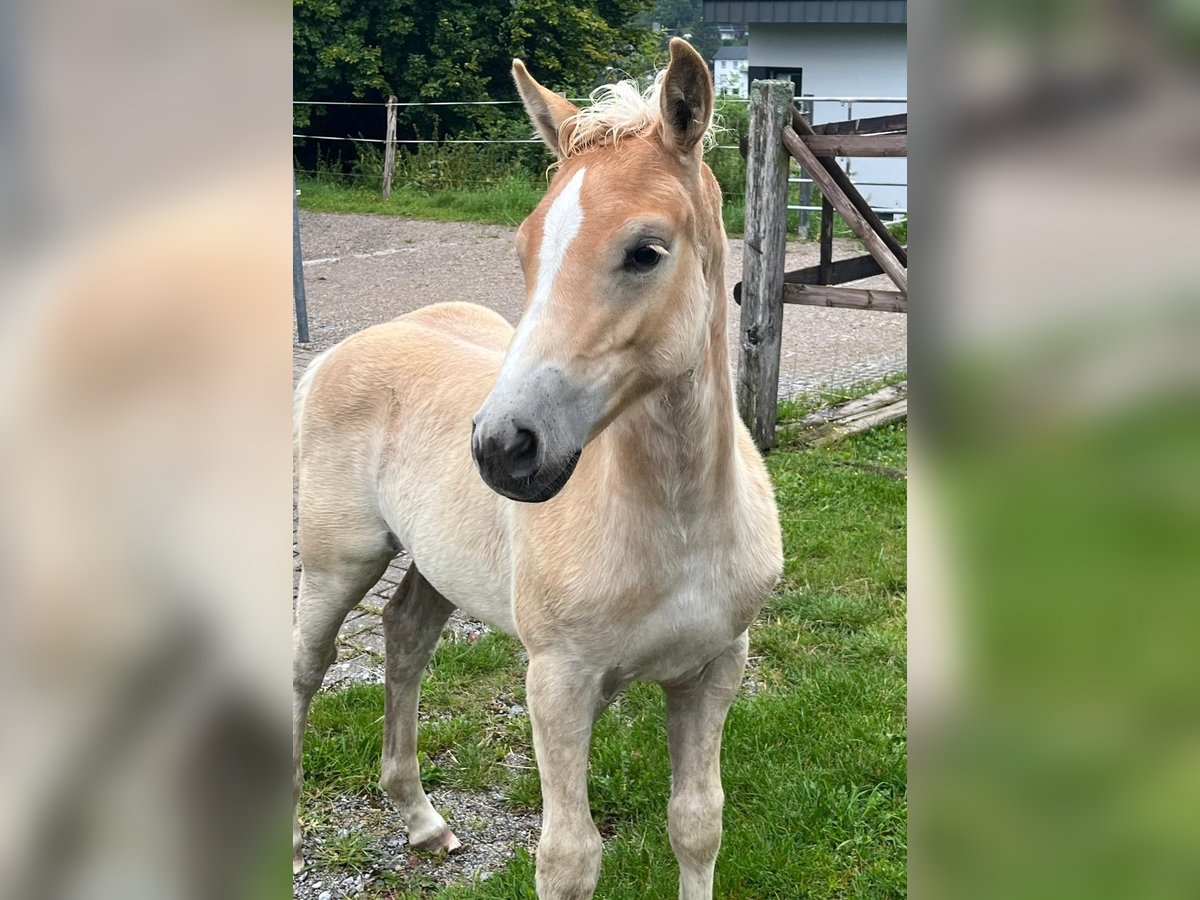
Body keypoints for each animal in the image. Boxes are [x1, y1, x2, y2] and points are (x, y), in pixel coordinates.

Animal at [295, 38, 787, 897]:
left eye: (646, 251)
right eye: (524, 250)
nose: (503, 447)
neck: (677, 526)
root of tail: (335, 354)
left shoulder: (715, 668)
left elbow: (697, 824)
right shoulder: (558, 682)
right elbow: (568, 858)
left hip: (434, 563)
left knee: (405, 637)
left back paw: (423, 821)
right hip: (334, 563)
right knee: (305, 668)